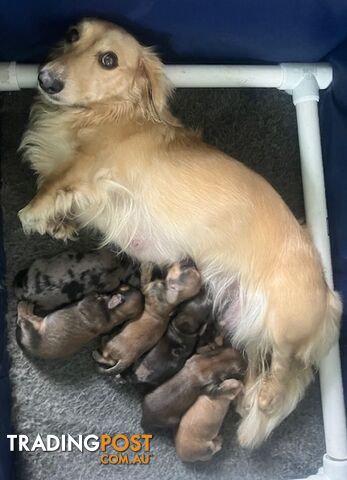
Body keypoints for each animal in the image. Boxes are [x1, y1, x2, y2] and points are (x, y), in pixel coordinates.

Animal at [16, 284, 144, 358]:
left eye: (124, 289)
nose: (123, 283)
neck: (114, 315)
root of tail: (23, 345)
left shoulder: (86, 304)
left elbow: (91, 297)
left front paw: (98, 294)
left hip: (31, 328)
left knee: (23, 319)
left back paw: (24, 305)